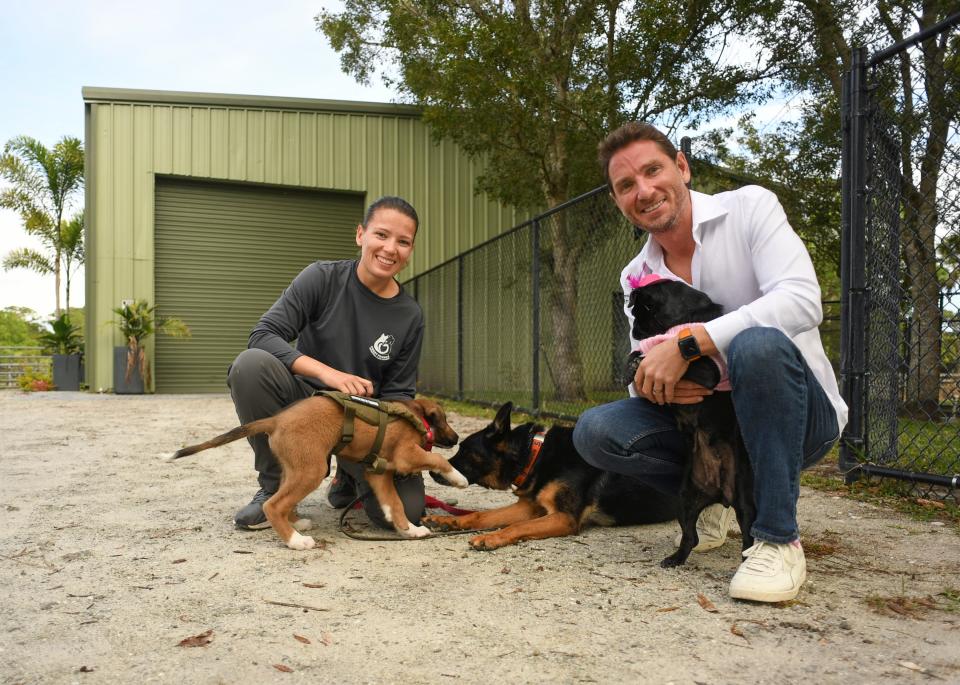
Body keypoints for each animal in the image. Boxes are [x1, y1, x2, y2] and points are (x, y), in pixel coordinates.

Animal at [171, 392, 466, 548]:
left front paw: (410, 531)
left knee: (281, 499)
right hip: (311, 471)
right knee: (272, 505)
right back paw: (296, 541)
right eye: (445, 420)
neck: (413, 414)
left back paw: (296, 523)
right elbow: (437, 458)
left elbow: (394, 504)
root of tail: (275, 420)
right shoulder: (405, 455)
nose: (457, 439)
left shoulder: (378, 473)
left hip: (295, 469)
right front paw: (458, 477)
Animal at [424, 400, 680, 552]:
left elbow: (518, 526)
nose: (430, 471)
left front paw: (492, 537)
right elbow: (482, 516)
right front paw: (449, 521)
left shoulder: (564, 518)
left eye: (465, 451)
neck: (534, 455)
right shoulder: (529, 507)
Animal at [628, 276, 752, 568]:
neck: (680, 320)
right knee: (690, 536)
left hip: (744, 500)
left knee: (748, 535)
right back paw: (674, 559)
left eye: (639, 314)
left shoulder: (707, 371)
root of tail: (720, 494)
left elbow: (671, 361)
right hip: (685, 500)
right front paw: (633, 363)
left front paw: (644, 359)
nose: (635, 330)